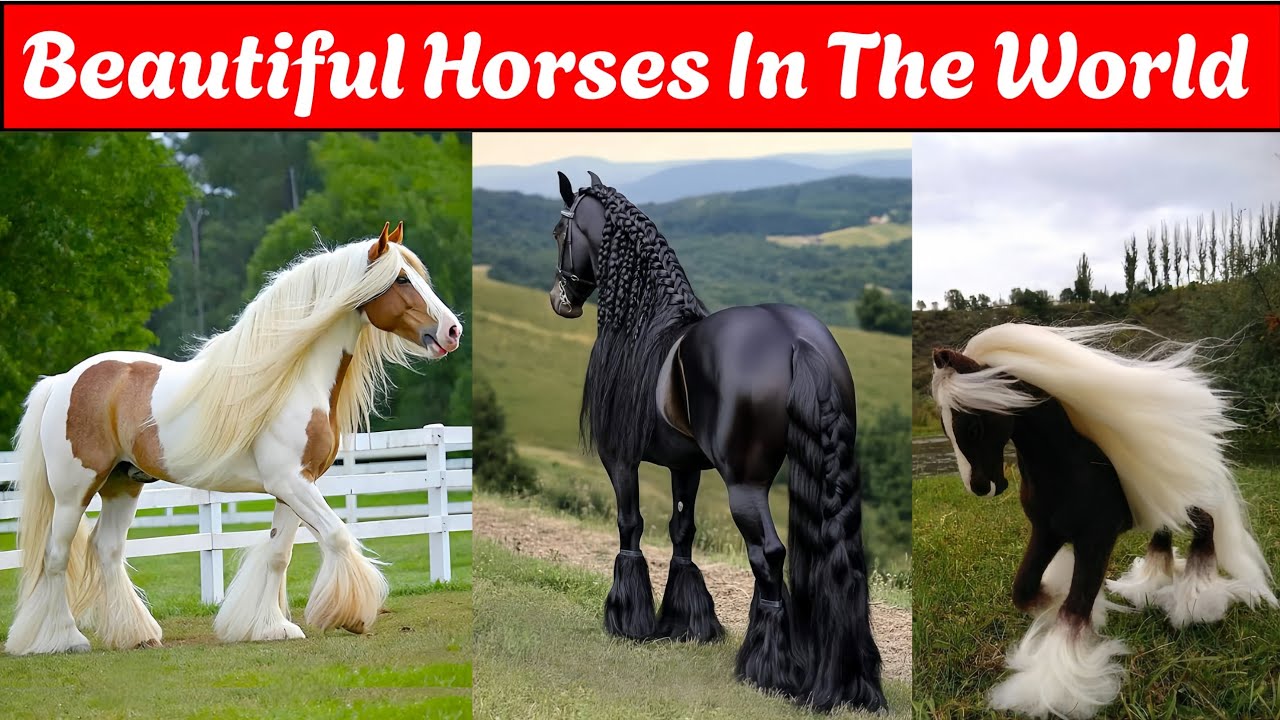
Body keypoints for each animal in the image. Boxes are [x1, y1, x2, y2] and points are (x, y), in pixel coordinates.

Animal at [5, 222, 462, 655]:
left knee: (107, 550)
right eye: (401, 279)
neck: (294, 380)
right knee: (57, 556)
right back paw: (64, 639)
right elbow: (336, 535)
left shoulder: (294, 487)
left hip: (123, 483)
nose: (452, 331)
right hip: (74, 490)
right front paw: (349, 616)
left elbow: (278, 555)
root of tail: (63, 380)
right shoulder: (291, 482)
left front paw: (269, 627)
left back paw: (136, 635)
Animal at [547, 171, 886, 712]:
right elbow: (682, 533)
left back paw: (765, 667)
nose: (560, 301)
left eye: (561, 233)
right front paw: (687, 623)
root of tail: (796, 342)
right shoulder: (684, 466)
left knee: (768, 555)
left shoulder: (619, 459)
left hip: (745, 486)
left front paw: (628, 620)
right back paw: (846, 680)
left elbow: (630, 526)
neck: (644, 321)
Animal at [931, 322, 1276, 719]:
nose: (982, 488)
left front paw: (1056, 687)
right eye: (945, 428)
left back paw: (1197, 604)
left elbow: (1074, 610)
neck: (1067, 467)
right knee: (1164, 536)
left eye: (971, 427)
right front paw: (1063, 603)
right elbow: (1025, 590)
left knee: (1206, 531)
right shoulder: (1046, 533)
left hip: (1184, 504)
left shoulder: (1095, 540)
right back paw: (1149, 586)